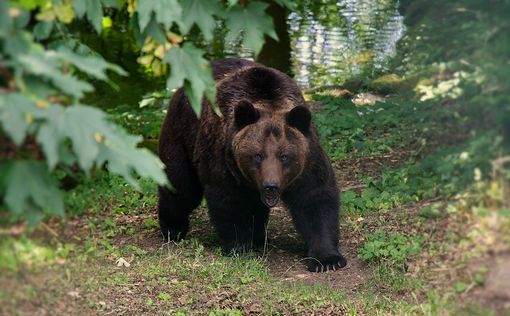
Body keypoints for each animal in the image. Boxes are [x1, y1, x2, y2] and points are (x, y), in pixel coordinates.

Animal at [158, 58, 346, 272]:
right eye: (257, 155)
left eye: (284, 156)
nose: (271, 186)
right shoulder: (225, 160)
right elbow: (229, 202)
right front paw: (239, 246)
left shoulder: (308, 162)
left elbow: (315, 200)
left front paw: (328, 259)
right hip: (183, 133)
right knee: (180, 185)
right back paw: (173, 229)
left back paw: (258, 237)